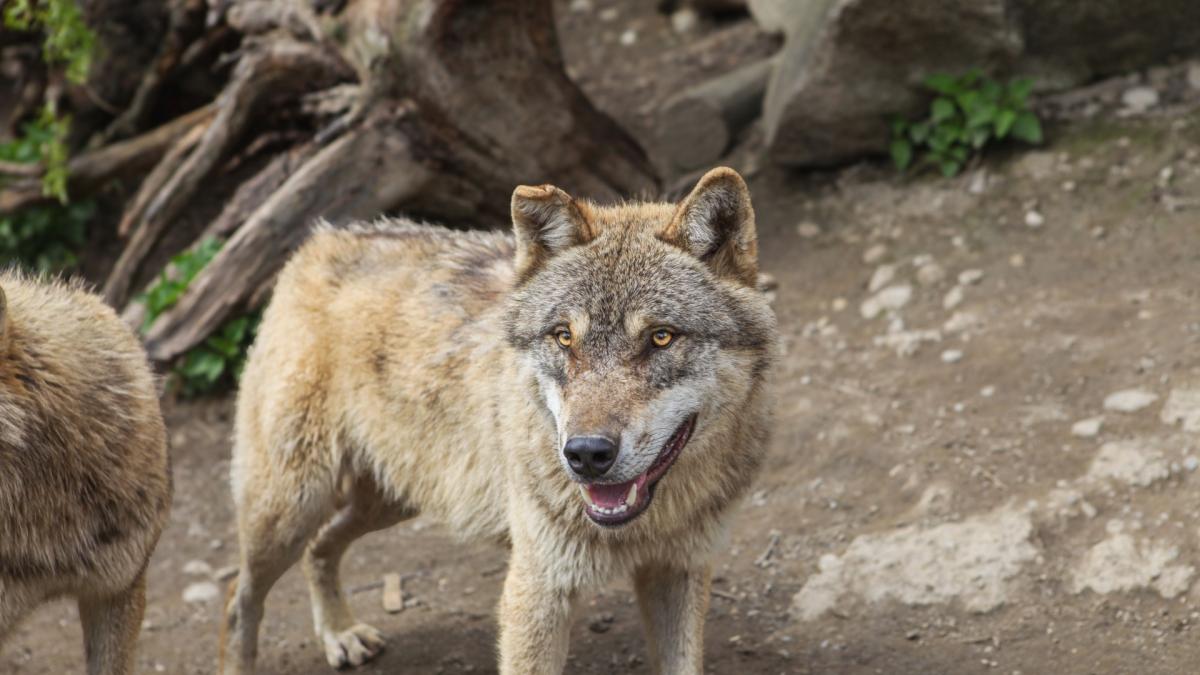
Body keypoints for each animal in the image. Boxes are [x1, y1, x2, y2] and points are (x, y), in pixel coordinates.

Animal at [220, 167, 777, 674]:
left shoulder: (678, 571)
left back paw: (340, 633)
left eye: (661, 337)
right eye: (563, 337)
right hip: (289, 509)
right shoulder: (536, 590)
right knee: (237, 600)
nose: (586, 454)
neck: (647, 525)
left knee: (320, 547)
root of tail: (320, 240)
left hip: (394, 498)